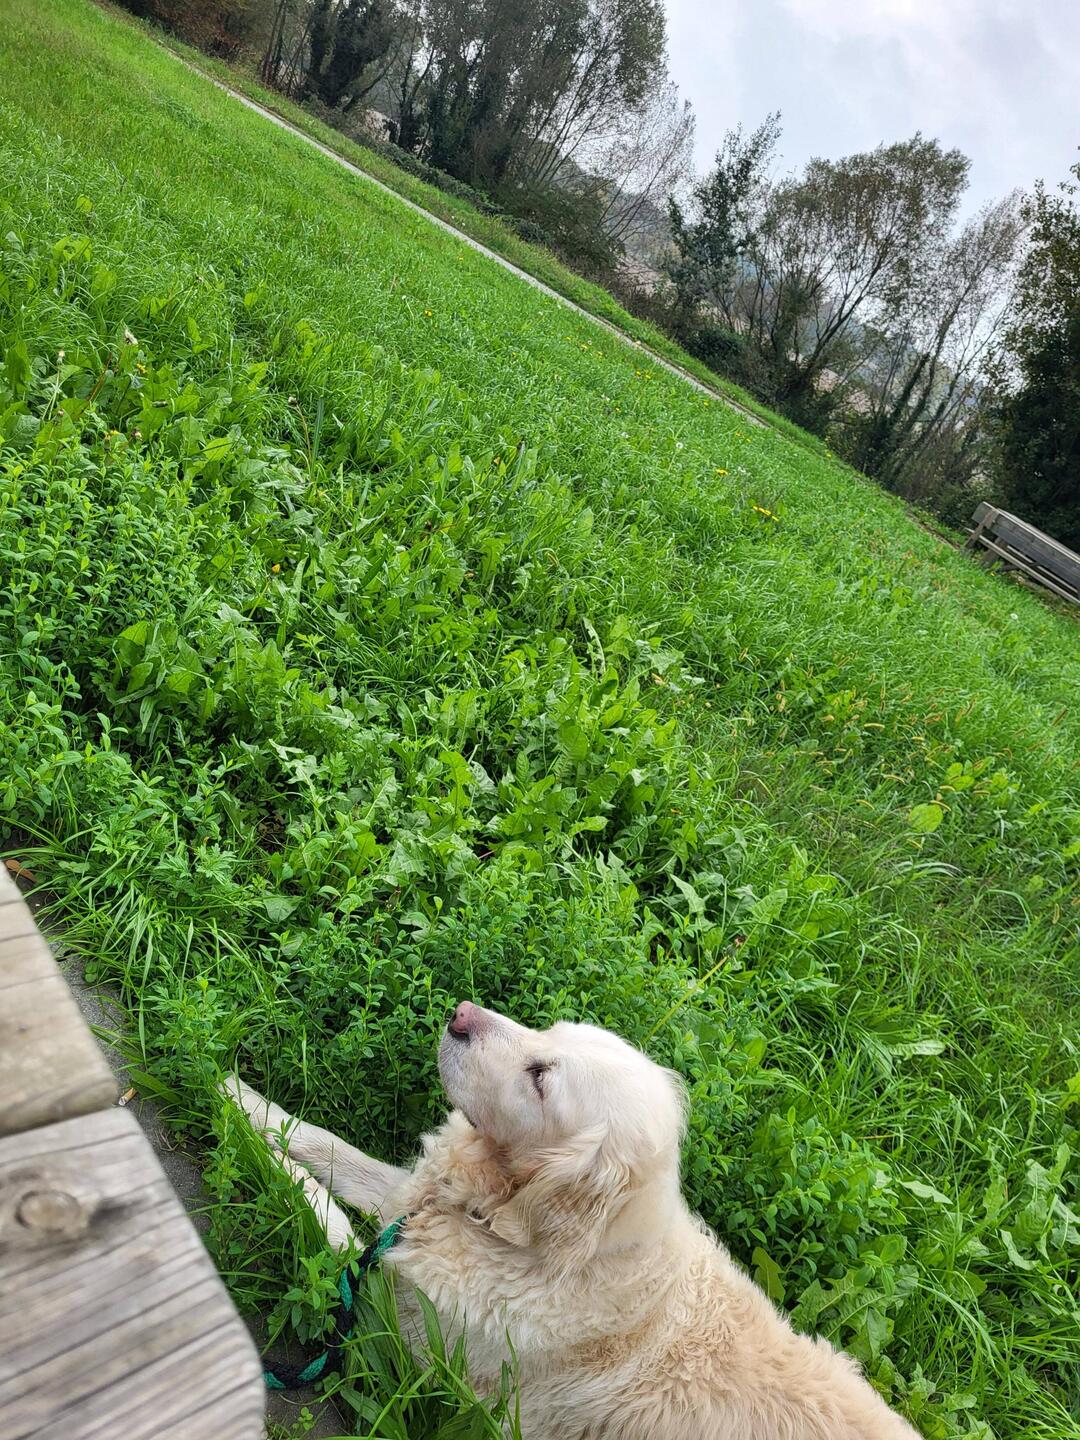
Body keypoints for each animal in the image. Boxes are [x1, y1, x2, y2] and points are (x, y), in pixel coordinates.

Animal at [226, 1002, 918, 1438]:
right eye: (548, 1033)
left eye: (539, 1078)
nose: (459, 1013)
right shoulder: (411, 1203)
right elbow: (327, 1147)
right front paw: (242, 1099)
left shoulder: (396, 1339)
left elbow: (330, 1226)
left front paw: (246, 1137)